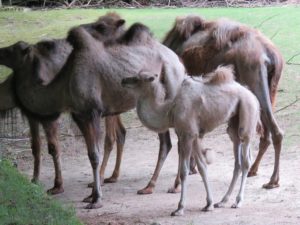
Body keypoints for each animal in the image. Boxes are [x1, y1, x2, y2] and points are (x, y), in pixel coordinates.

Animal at [0, 20, 186, 208]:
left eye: (13, 50)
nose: (0, 50)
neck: (64, 85)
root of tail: (178, 61)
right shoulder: (79, 115)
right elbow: (90, 154)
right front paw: (90, 195)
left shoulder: (93, 111)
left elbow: (95, 154)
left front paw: (96, 199)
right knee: (167, 142)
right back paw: (150, 186)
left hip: (171, 86)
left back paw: (175, 186)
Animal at [121, 65, 260, 216]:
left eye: (137, 79)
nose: (123, 80)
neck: (170, 109)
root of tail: (253, 96)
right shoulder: (191, 135)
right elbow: (202, 167)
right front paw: (209, 204)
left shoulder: (187, 135)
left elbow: (184, 171)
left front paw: (179, 208)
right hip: (233, 125)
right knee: (237, 159)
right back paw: (222, 201)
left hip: (247, 113)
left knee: (246, 159)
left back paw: (238, 201)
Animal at [164, 14, 284, 189]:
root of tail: (270, 56)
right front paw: (192, 169)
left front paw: (178, 181)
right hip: (270, 88)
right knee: (268, 133)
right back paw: (256, 171)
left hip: (255, 80)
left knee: (273, 131)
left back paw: (272, 180)